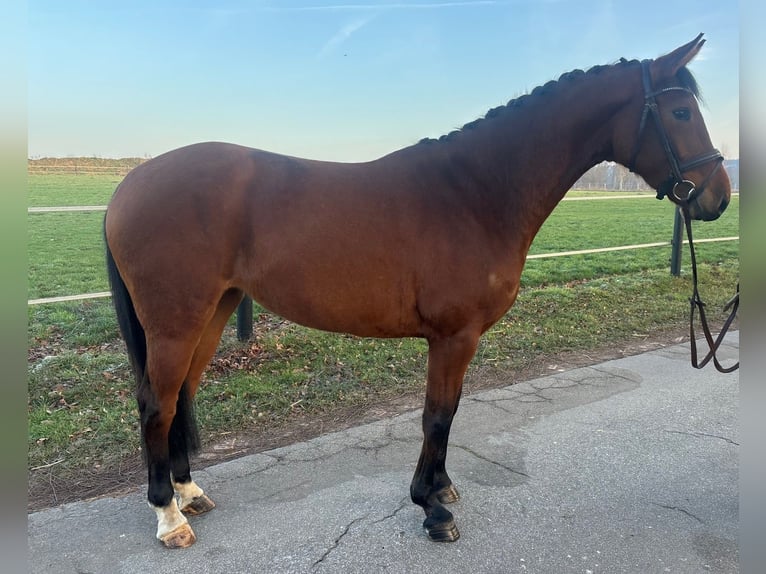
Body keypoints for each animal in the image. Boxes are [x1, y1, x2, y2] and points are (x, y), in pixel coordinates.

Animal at [104, 34, 730, 548]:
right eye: (679, 111)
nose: (718, 196)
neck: (475, 193)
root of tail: (130, 184)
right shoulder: (454, 336)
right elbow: (438, 415)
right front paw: (433, 510)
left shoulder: (456, 339)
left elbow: (447, 412)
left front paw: (441, 489)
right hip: (176, 321)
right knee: (157, 404)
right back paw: (169, 518)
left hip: (214, 311)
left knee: (182, 395)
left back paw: (189, 494)